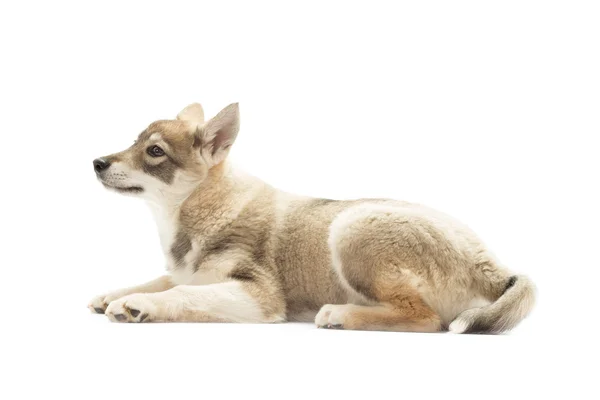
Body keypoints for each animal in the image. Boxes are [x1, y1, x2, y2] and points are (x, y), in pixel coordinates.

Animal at [89, 101, 536, 332]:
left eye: (155, 152)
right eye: (134, 142)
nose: (96, 162)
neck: (202, 206)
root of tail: (493, 266)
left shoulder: (260, 297)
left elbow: (180, 292)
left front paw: (138, 304)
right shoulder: (193, 272)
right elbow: (165, 279)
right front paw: (116, 293)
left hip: (352, 227)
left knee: (426, 319)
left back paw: (339, 314)